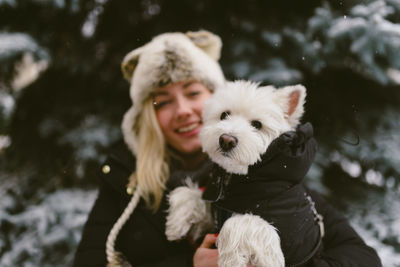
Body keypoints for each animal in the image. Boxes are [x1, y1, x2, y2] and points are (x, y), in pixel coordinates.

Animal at [165, 80, 322, 266]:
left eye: (257, 124)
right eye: (224, 114)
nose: (226, 140)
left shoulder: (291, 237)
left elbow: (240, 221)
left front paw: (230, 260)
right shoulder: (216, 212)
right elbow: (189, 194)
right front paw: (175, 224)